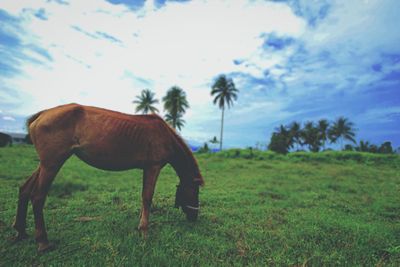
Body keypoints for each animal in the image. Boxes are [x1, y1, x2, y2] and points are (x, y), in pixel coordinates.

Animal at [12, 104, 203, 253]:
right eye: (195, 192)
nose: (194, 217)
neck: (164, 135)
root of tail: (42, 114)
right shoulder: (153, 167)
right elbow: (148, 198)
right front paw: (144, 231)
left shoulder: (146, 169)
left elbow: (143, 197)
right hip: (52, 164)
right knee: (37, 197)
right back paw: (43, 242)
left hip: (45, 164)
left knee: (25, 189)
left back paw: (20, 231)